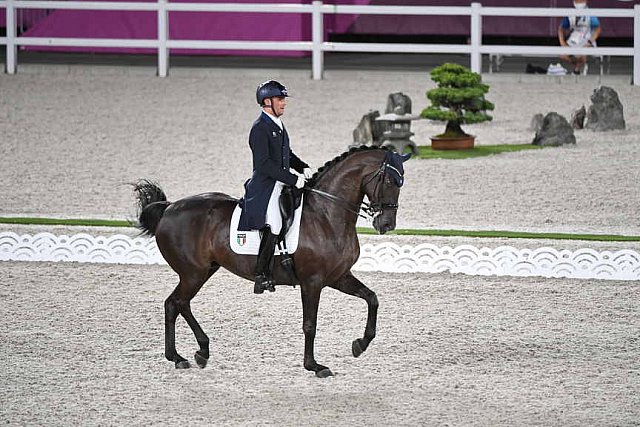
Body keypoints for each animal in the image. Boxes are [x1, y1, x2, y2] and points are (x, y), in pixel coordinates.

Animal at [134, 147, 410, 378]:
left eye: (401, 183)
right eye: (389, 181)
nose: (386, 224)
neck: (326, 214)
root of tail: (169, 208)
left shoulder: (338, 277)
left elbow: (372, 299)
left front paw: (360, 344)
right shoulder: (313, 282)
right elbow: (310, 324)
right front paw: (314, 366)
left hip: (203, 270)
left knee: (180, 304)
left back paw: (199, 352)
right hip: (193, 273)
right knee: (174, 303)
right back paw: (179, 356)